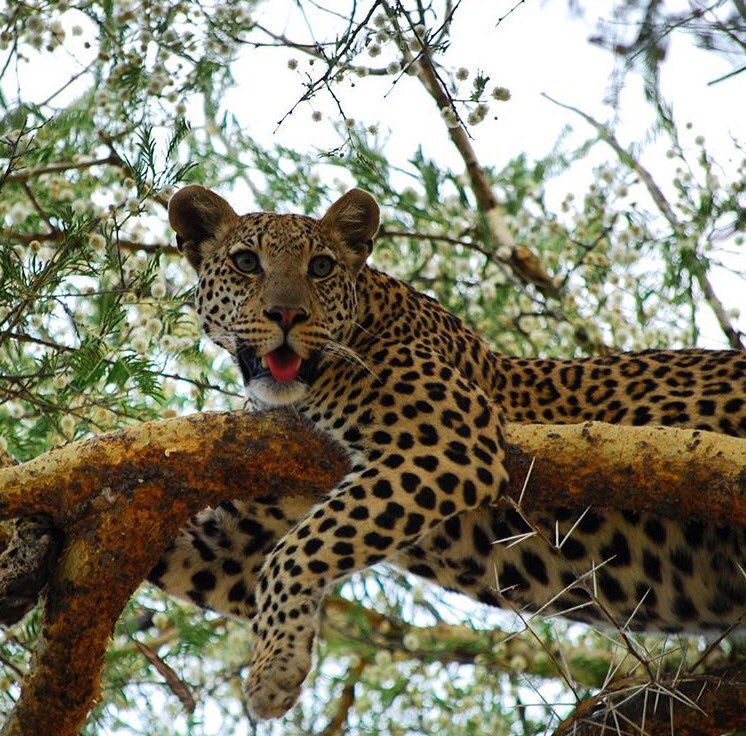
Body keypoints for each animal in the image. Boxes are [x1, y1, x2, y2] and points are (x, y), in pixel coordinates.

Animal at [146, 184, 746, 720]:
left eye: (320, 268)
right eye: (246, 262)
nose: (287, 315)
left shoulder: (451, 441)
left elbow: (297, 550)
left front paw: (274, 670)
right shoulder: (239, 542)